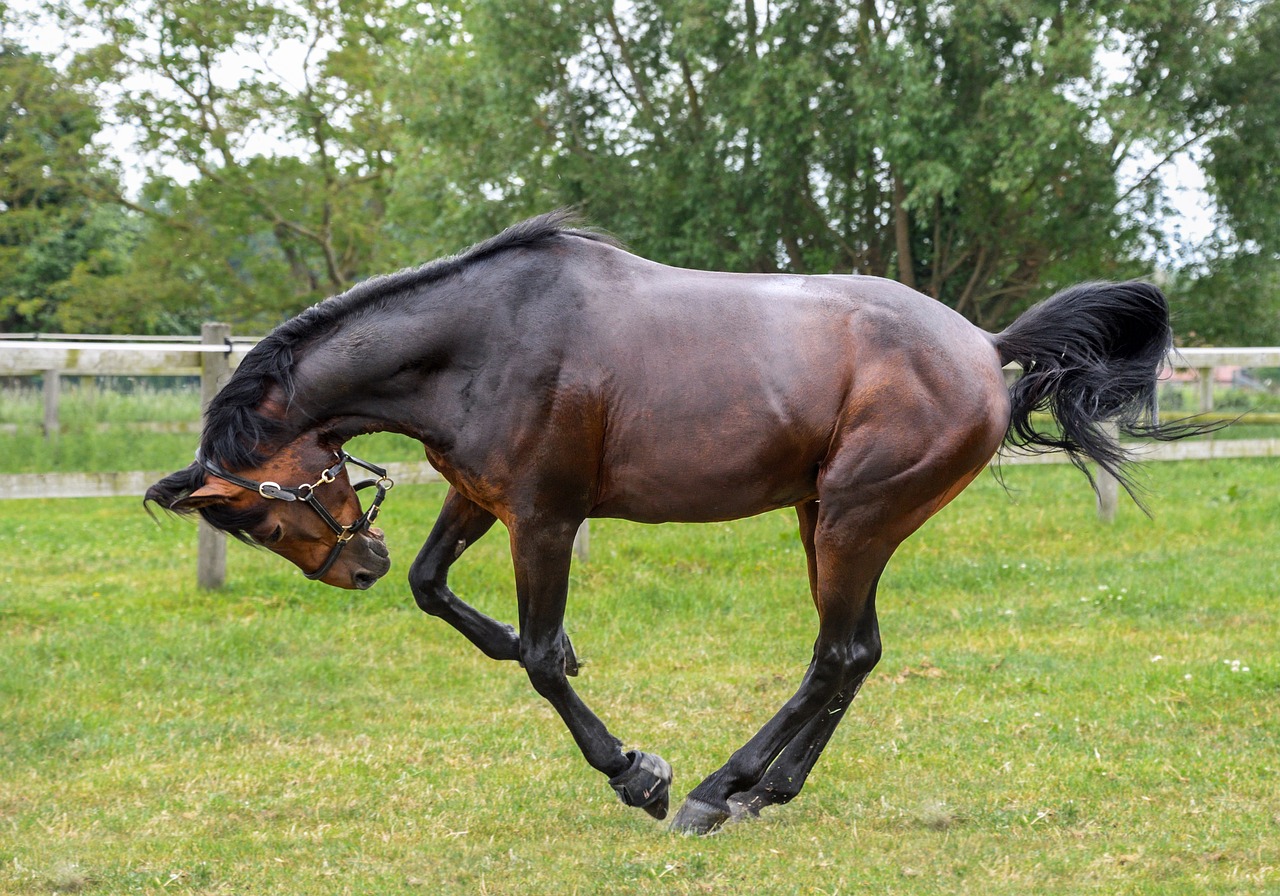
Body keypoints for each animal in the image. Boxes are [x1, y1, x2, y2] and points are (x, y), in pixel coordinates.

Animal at [147, 209, 1208, 834]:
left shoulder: (543, 518)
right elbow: (437, 590)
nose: (353, 564)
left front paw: (637, 772)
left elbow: (538, 659)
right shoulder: (482, 499)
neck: (479, 340)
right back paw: (765, 790)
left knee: (835, 654)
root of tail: (986, 347)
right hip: (827, 518)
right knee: (856, 654)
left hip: (852, 520)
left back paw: (713, 792)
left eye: (262, 519)